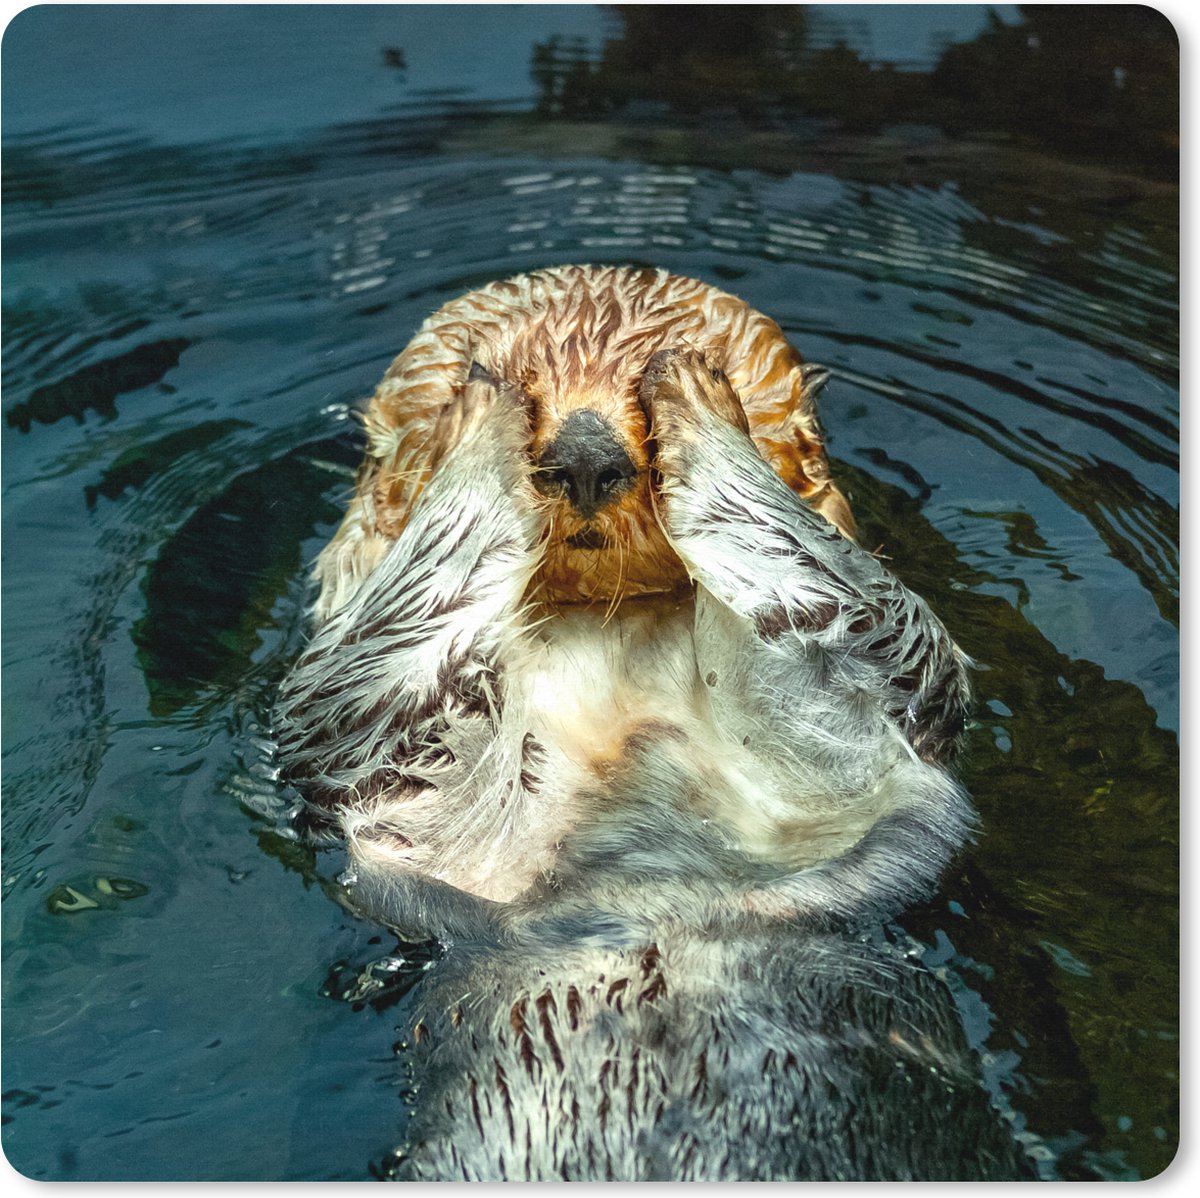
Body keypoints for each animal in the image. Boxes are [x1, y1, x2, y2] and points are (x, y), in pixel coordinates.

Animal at [274, 265, 1031, 1181]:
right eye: (510, 368)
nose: (585, 454)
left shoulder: (865, 731)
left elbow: (849, 614)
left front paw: (699, 394)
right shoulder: (378, 756)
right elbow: (379, 671)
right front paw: (478, 414)